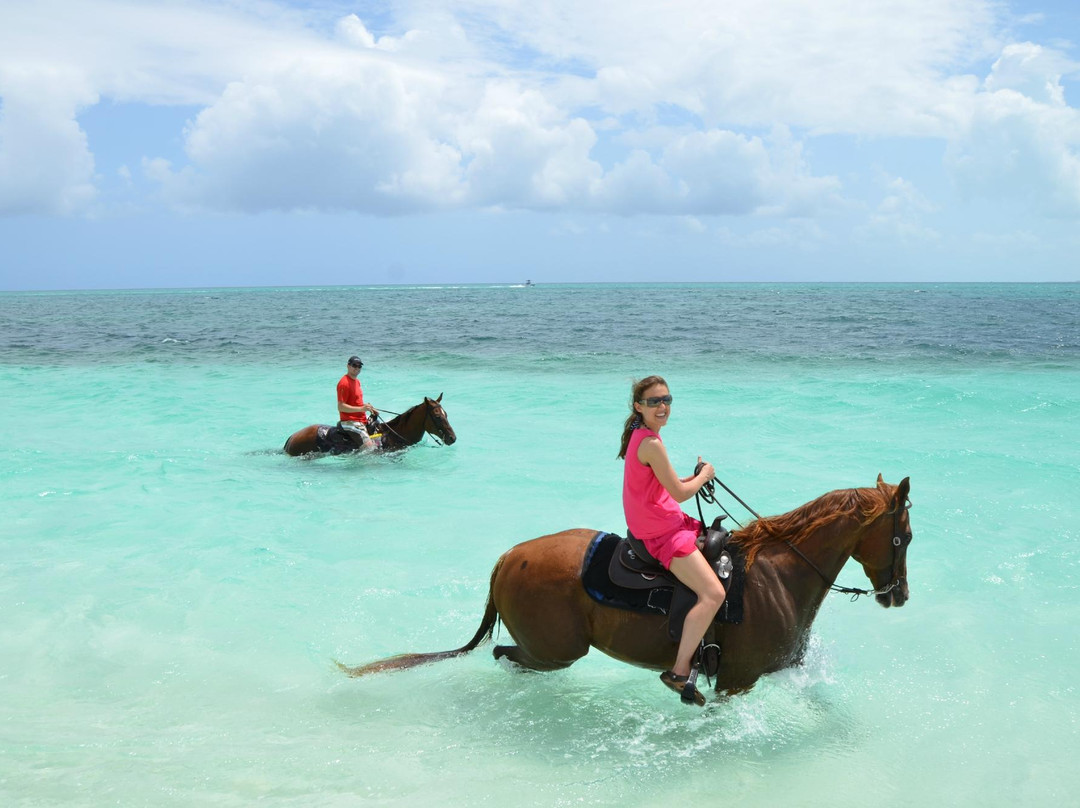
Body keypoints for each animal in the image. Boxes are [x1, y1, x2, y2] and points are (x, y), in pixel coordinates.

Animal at [339, 473, 911, 695]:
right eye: (903, 537)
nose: (899, 595)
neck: (778, 576)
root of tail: (507, 558)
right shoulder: (737, 682)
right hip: (555, 649)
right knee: (507, 655)